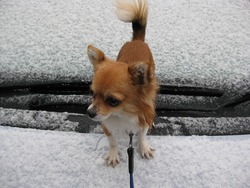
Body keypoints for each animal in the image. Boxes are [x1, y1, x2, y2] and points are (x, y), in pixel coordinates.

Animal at [86, 0, 158, 167]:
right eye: (92, 93)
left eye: (113, 101)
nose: (89, 112)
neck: (123, 114)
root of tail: (137, 41)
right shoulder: (107, 126)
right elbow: (113, 142)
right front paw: (113, 155)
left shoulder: (142, 121)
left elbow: (142, 136)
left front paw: (143, 148)